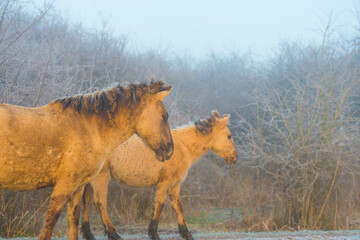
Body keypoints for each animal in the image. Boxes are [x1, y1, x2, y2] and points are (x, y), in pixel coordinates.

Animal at [0, 80, 173, 240]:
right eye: (164, 116)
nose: (170, 150)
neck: (88, 127)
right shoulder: (65, 185)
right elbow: (50, 221)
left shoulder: (77, 187)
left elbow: (73, 221)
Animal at [82, 111, 239, 240]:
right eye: (229, 136)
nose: (234, 158)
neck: (182, 147)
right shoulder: (165, 183)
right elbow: (159, 206)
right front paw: (154, 234)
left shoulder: (174, 186)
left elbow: (178, 207)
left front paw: (187, 234)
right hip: (100, 178)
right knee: (100, 203)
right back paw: (113, 234)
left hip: (89, 180)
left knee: (86, 201)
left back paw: (88, 234)